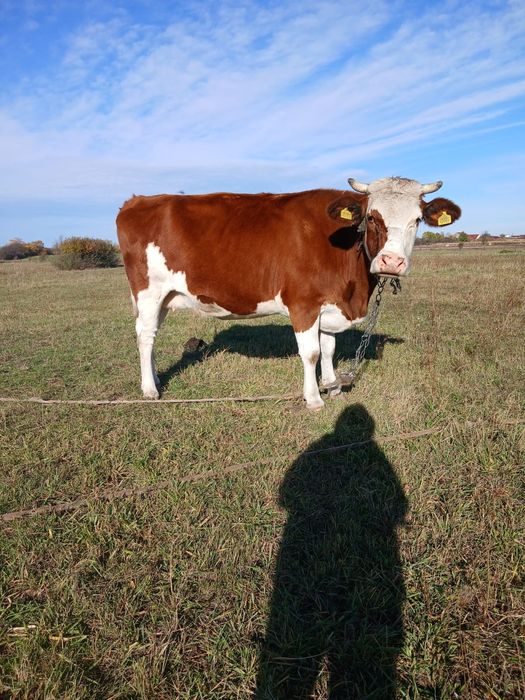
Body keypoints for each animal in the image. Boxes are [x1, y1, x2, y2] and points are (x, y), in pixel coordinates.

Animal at [116, 177, 461, 409]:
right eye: (372, 217)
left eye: (417, 219)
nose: (392, 262)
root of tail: (137, 201)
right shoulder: (303, 303)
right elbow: (311, 353)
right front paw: (314, 398)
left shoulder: (329, 305)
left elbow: (329, 348)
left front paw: (333, 386)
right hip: (149, 292)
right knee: (145, 336)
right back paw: (150, 390)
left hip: (165, 296)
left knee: (152, 335)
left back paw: (155, 379)